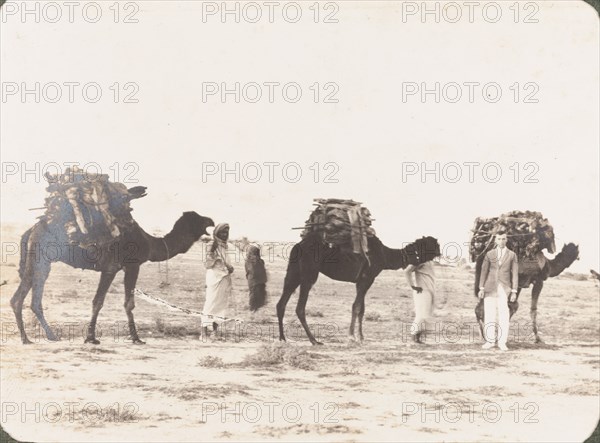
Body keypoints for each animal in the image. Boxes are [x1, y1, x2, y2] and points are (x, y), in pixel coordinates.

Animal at [10, 210, 214, 346]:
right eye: (197, 218)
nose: (211, 219)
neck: (149, 242)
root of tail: (31, 230)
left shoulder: (115, 269)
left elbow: (101, 301)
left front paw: (91, 336)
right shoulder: (125, 267)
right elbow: (116, 302)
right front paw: (134, 338)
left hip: (40, 262)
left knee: (22, 298)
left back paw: (35, 337)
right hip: (40, 259)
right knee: (28, 298)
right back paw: (34, 338)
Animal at [276, 234, 440, 346]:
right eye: (433, 244)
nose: (440, 252)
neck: (384, 255)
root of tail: (297, 246)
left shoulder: (362, 281)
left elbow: (362, 309)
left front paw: (361, 337)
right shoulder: (367, 278)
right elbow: (356, 307)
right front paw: (351, 337)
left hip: (294, 273)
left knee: (281, 304)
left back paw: (283, 338)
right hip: (309, 274)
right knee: (300, 307)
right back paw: (314, 340)